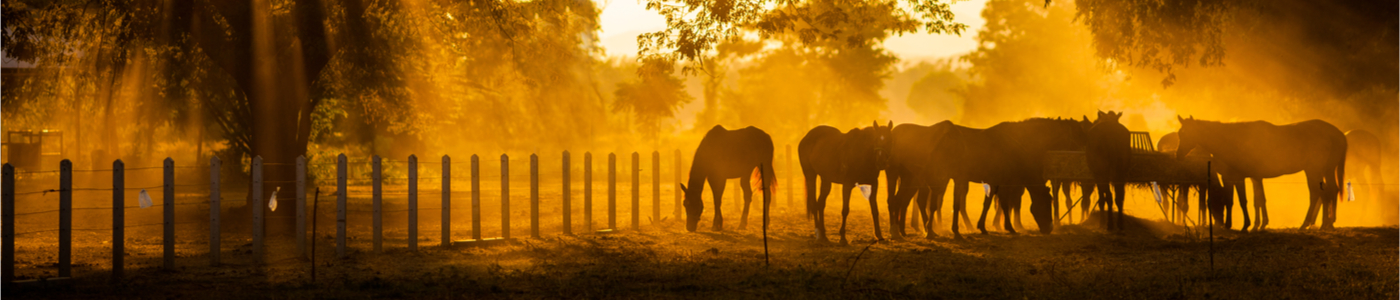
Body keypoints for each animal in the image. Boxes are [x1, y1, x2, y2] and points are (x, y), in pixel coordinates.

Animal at [918, 117, 1092, 236]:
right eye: (1047, 202)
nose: (1049, 228)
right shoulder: (1004, 182)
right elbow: (1005, 204)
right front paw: (1010, 227)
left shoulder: (995, 182)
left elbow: (989, 204)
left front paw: (983, 226)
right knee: (934, 202)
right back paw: (932, 229)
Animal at [1176, 116, 1349, 229]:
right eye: (1179, 133)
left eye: (1184, 133)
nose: (1178, 154)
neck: (1232, 141)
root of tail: (1337, 133)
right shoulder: (1243, 177)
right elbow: (1252, 200)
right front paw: (1249, 224)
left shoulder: (1239, 177)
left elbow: (1243, 201)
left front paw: (1246, 225)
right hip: (1326, 169)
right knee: (1330, 191)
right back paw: (1327, 223)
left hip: (1313, 170)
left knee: (1317, 193)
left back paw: (1308, 223)